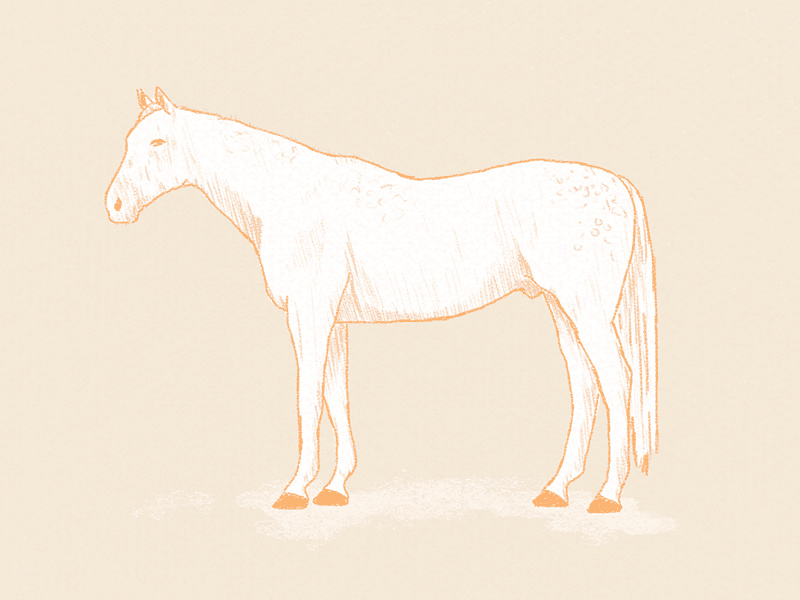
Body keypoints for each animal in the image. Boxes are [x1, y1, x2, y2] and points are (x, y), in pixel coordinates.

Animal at [105, 88, 657, 513]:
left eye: (157, 141)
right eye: (130, 141)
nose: (114, 206)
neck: (292, 198)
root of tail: (618, 184)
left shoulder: (309, 313)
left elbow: (308, 398)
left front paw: (295, 490)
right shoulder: (333, 321)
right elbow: (336, 396)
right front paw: (334, 487)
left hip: (585, 308)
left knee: (616, 380)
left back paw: (607, 496)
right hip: (564, 308)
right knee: (585, 386)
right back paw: (556, 490)